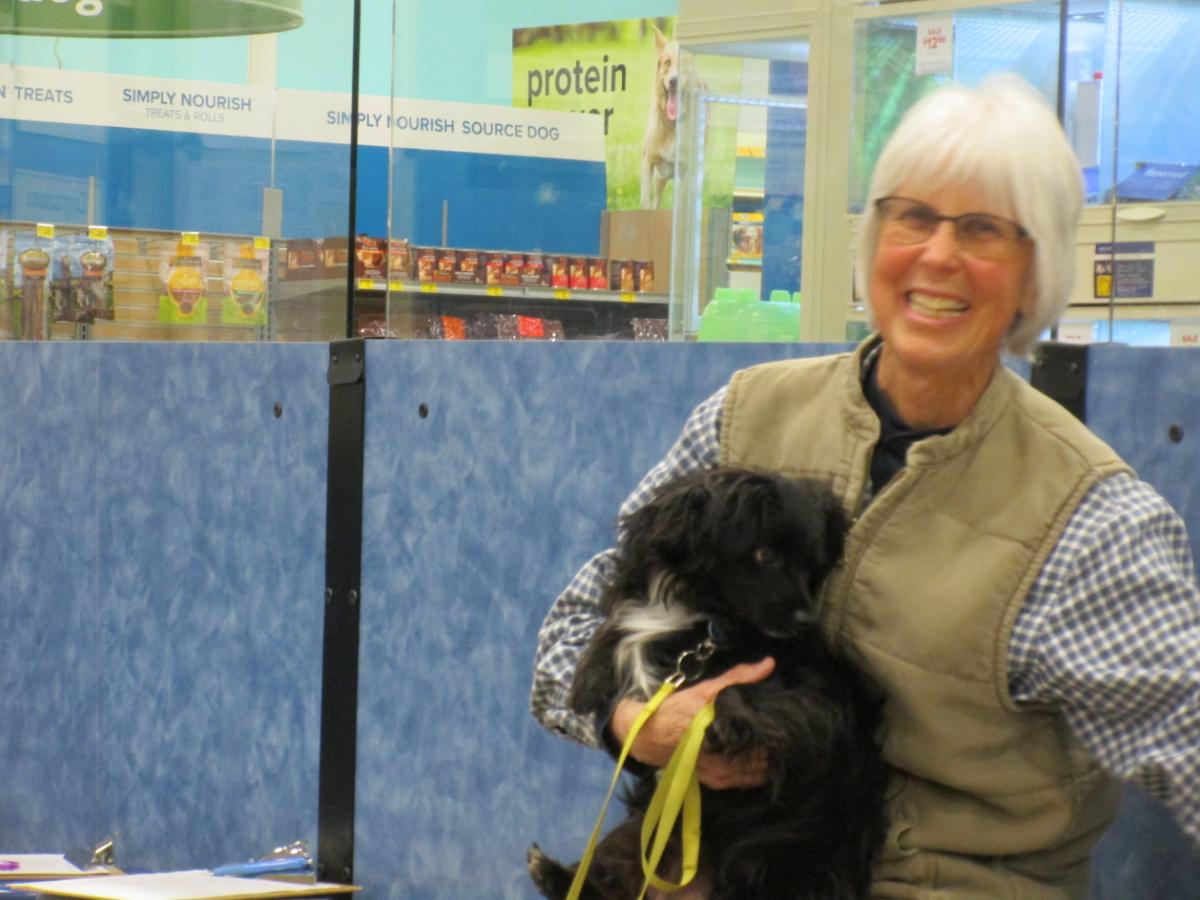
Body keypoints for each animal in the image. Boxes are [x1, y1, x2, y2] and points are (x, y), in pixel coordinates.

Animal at [528, 467, 891, 899]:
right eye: (766, 555)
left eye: (814, 567)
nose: (806, 621)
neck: (707, 618)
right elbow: (616, 627)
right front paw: (587, 679)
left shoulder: (816, 693)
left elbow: (754, 692)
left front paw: (723, 720)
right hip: (637, 834)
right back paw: (551, 871)